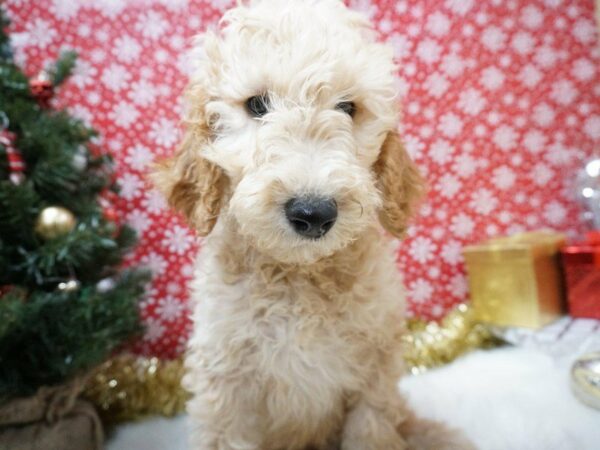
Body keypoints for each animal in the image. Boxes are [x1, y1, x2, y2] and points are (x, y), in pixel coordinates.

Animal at [156, 0, 478, 450]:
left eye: (348, 108)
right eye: (257, 105)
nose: (313, 213)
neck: (299, 276)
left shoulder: (374, 373)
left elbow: (371, 431)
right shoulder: (224, 380)